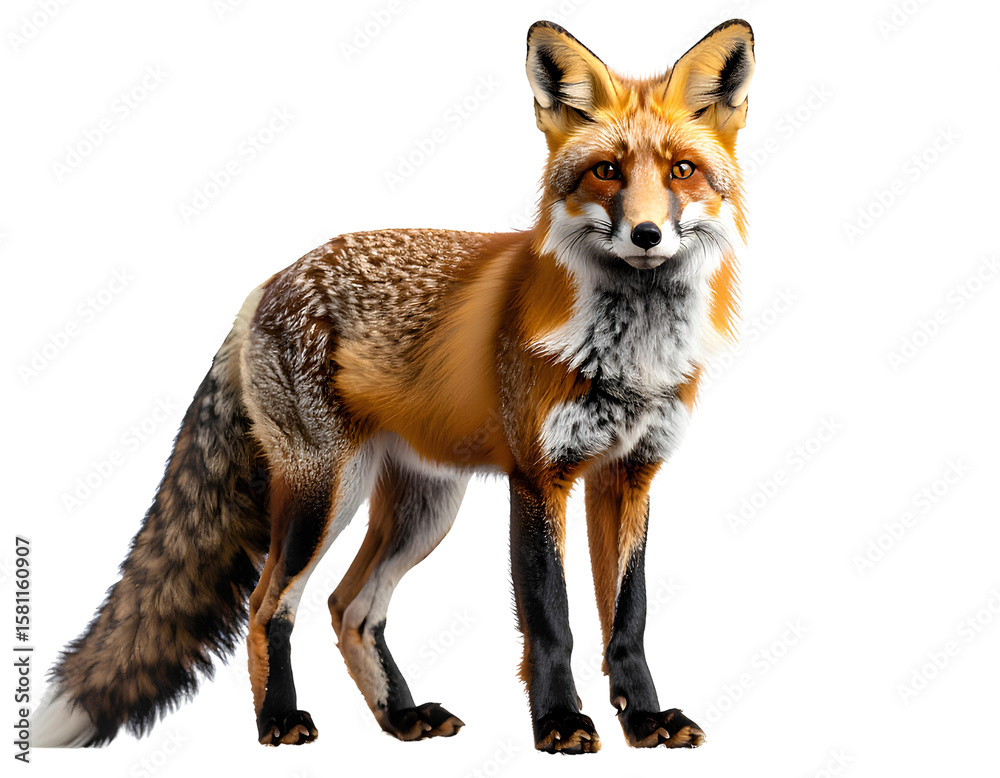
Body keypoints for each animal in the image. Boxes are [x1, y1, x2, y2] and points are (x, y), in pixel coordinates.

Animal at [33, 19, 755, 754]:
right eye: (606, 170)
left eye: (682, 171)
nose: (647, 234)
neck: (629, 356)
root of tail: (269, 282)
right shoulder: (537, 476)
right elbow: (551, 619)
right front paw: (558, 722)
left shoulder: (629, 475)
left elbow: (628, 617)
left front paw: (644, 720)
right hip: (324, 493)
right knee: (271, 606)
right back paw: (279, 720)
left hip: (423, 509)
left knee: (349, 608)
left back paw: (401, 717)